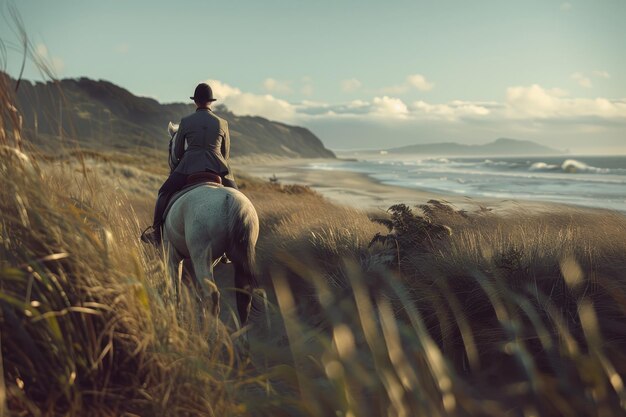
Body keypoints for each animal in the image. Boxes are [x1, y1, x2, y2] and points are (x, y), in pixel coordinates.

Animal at [163, 122, 258, 324]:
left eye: (170, 145)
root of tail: (230, 201)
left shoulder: (172, 254)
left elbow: (176, 287)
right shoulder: (212, 259)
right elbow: (198, 294)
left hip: (200, 255)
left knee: (212, 295)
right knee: (242, 299)